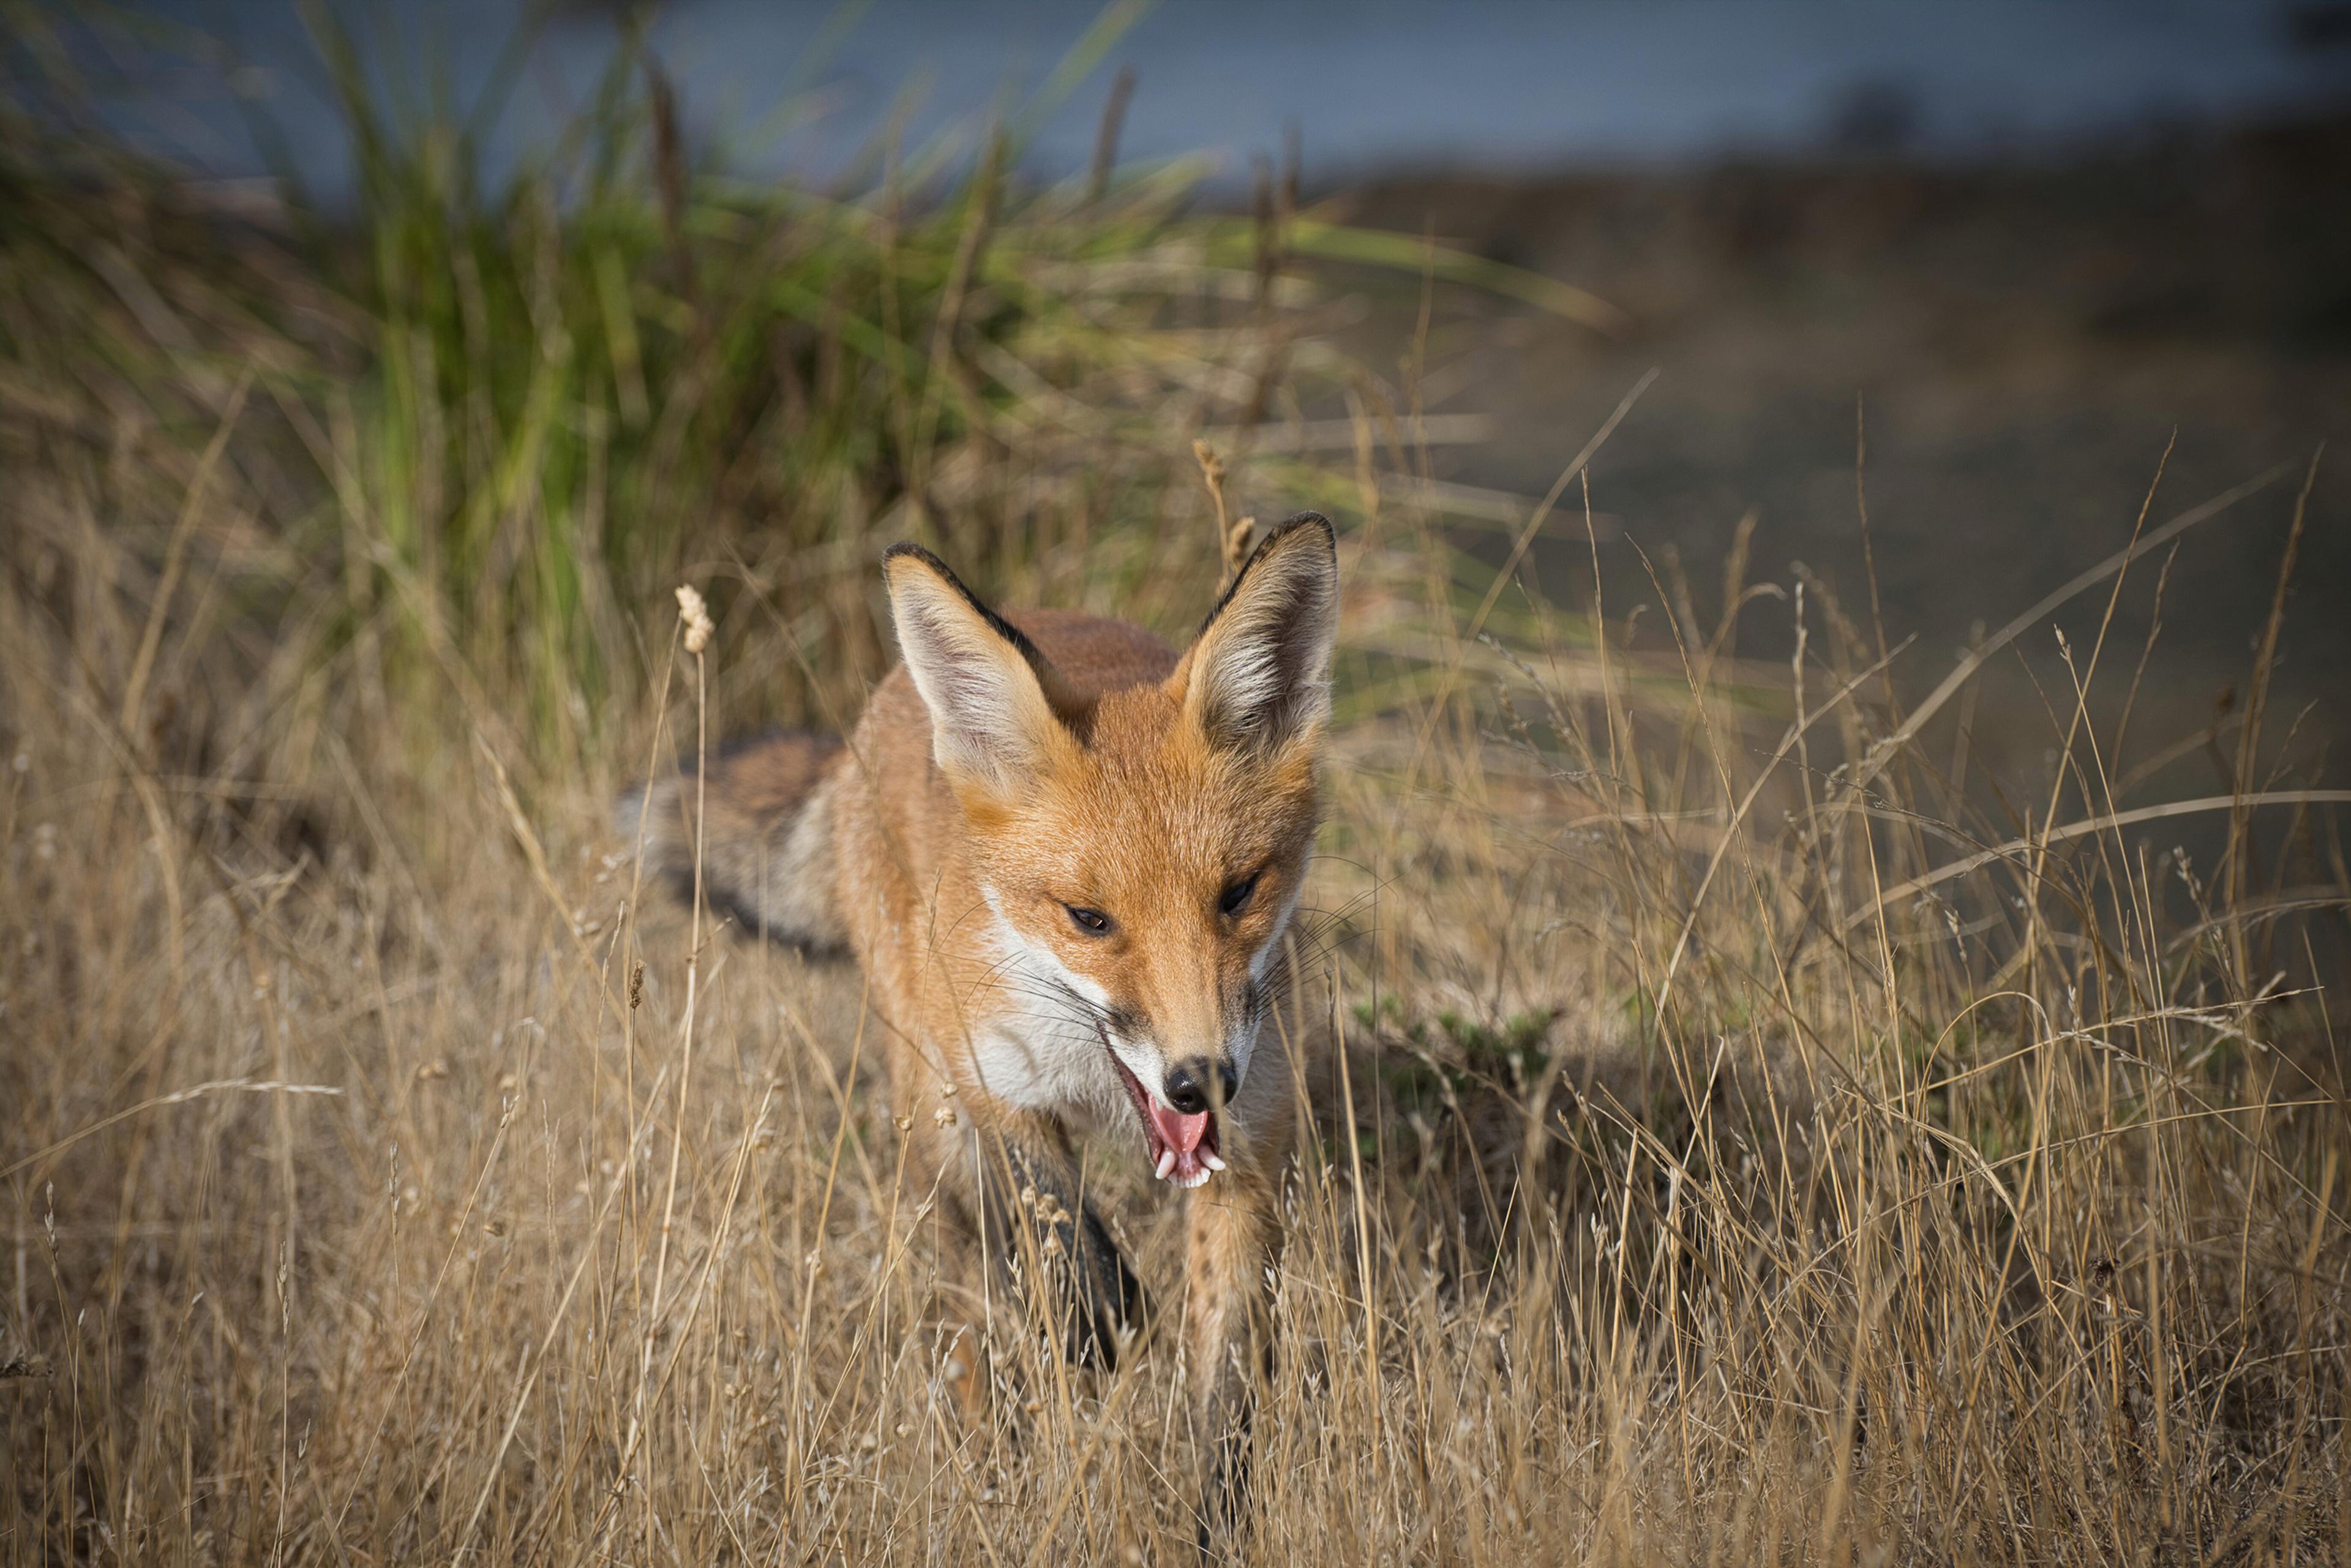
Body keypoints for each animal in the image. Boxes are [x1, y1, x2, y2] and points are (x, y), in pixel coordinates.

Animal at [619, 513, 1340, 1542]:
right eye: (1089, 919)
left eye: (1238, 894)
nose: (1198, 1079)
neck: (1092, 1077)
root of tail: (877, 711)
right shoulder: (983, 1070)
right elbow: (1054, 1224)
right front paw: (1100, 1315)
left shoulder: (1252, 1145)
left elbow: (1226, 1391)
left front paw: (1216, 1527)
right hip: (924, 1102)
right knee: (970, 1287)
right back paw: (992, 1451)